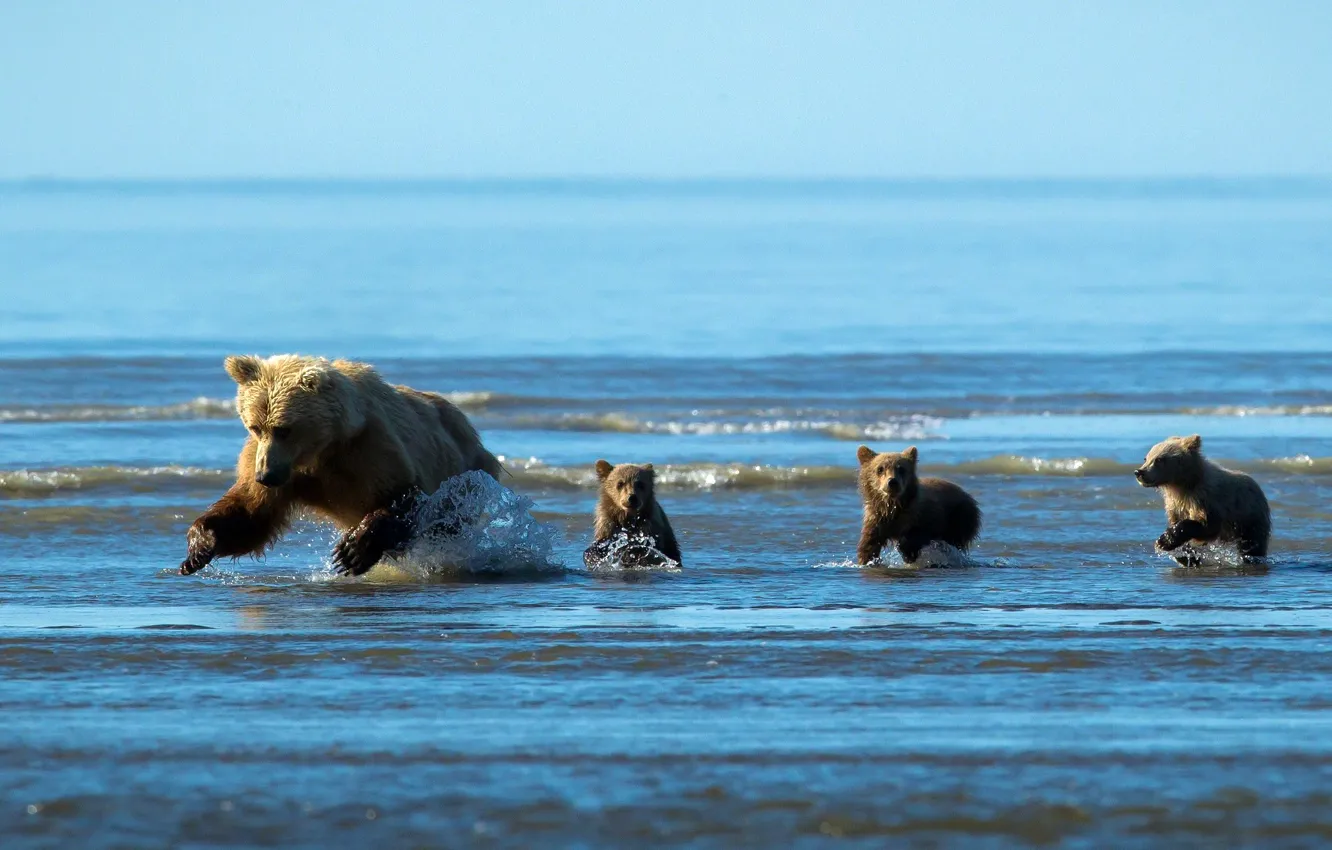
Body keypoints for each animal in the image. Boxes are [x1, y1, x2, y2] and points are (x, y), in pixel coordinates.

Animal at [179, 354, 502, 577]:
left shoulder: (369, 448)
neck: (321, 449)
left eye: (284, 429)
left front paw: (351, 552)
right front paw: (199, 546)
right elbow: (251, 514)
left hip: (465, 472)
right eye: (255, 426)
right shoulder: (272, 463)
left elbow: (404, 494)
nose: (266, 476)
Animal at [1134, 434, 1270, 564]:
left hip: (1249, 518)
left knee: (1251, 544)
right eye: (1146, 458)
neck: (1183, 486)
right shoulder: (1175, 505)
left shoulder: (1207, 500)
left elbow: (1207, 526)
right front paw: (1184, 553)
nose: (1139, 472)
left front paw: (1165, 540)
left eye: (1159, 459)